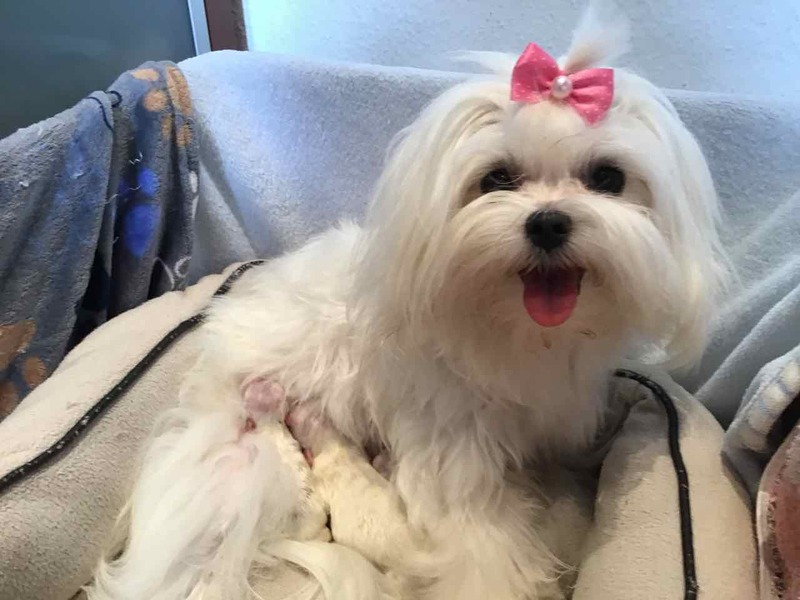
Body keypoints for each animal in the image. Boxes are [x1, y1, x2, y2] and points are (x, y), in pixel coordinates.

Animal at [88, 4, 728, 599]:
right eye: (497, 179)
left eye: (608, 178)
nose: (548, 223)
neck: (516, 330)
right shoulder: (456, 466)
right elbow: (483, 560)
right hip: (247, 477)